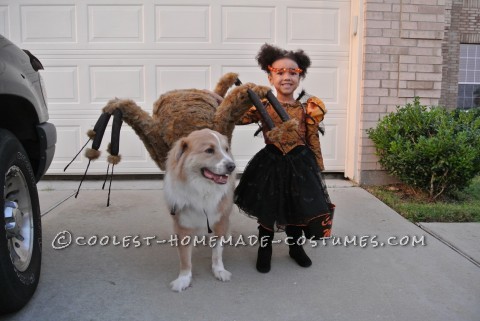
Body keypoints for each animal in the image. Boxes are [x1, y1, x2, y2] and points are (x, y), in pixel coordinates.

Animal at [163, 127, 236, 290]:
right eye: (209, 150)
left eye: (226, 149)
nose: (232, 166)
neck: (203, 190)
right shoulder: (183, 225)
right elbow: (184, 258)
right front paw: (183, 278)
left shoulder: (220, 220)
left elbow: (217, 252)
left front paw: (219, 270)